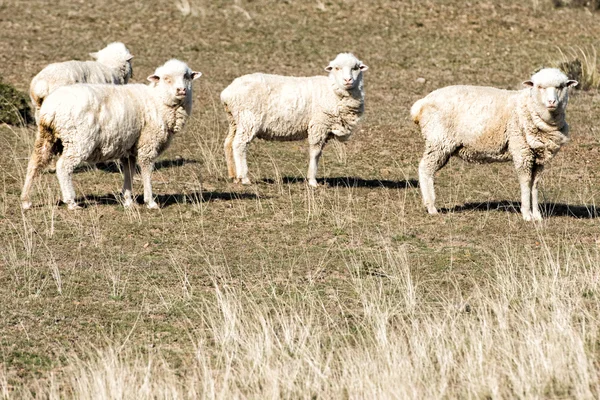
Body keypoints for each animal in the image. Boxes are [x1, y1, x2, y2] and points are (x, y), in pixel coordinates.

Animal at [21, 59, 202, 211]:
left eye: (187, 76)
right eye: (166, 78)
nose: (181, 90)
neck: (158, 101)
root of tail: (51, 106)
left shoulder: (129, 148)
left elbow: (129, 171)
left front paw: (128, 200)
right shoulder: (148, 143)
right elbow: (146, 170)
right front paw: (150, 201)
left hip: (47, 135)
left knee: (35, 163)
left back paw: (25, 200)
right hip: (78, 140)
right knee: (63, 167)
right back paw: (71, 202)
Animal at [220, 52, 368, 188]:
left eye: (356, 68)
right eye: (337, 68)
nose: (348, 80)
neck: (332, 90)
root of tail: (226, 93)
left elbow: (319, 153)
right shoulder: (319, 125)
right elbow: (315, 152)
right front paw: (312, 181)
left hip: (235, 121)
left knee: (228, 143)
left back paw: (233, 176)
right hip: (249, 119)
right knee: (239, 144)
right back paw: (244, 177)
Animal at [412, 67, 576, 220]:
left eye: (561, 86)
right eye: (539, 87)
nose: (551, 102)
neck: (529, 107)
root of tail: (421, 103)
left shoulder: (539, 156)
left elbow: (534, 184)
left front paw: (537, 215)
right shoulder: (521, 151)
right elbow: (525, 182)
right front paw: (526, 214)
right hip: (438, 141)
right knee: (425, 169)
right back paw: (431, 207)